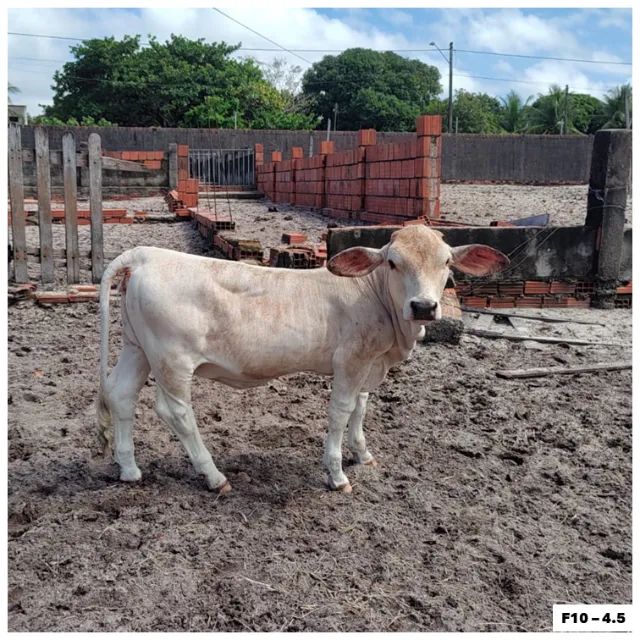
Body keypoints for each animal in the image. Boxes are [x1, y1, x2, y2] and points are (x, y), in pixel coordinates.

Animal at [96, 225, 508, 494]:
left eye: (446, 261)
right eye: (392, 262)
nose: (423, 306)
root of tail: (146, 254)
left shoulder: (369, 364)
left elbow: (361, 407)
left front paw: (363, 454)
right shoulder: (351, 362)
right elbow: (341, 412)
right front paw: (337, 474)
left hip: (137, 348)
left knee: (120, 394)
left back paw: (129, 468)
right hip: (173, 360)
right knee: (176, 412)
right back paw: (214, 476)